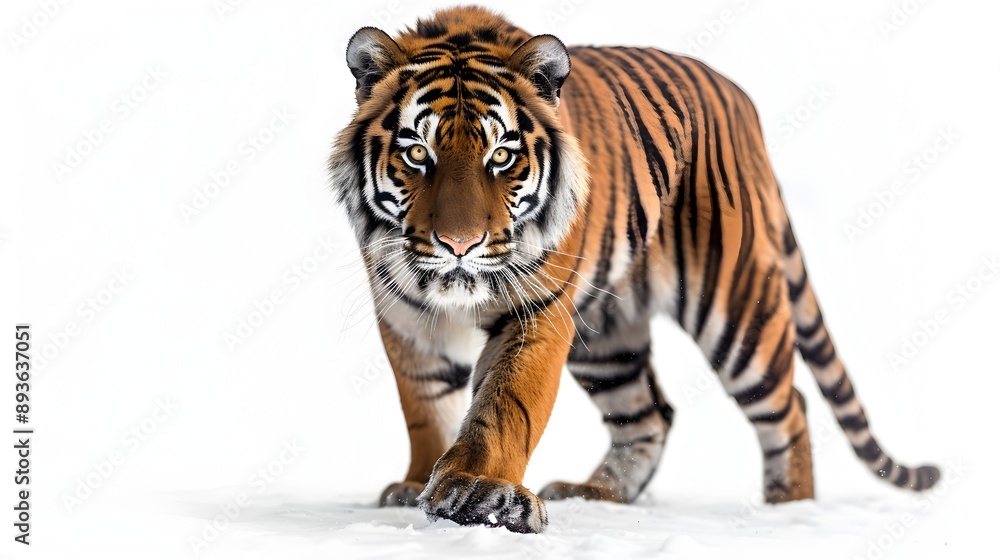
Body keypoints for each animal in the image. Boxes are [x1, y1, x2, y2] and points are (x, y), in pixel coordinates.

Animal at [328, 6, 939, 533]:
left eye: (500, 156)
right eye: (417, 154)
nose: (460, 244)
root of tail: (742, 101)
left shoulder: (538, 310)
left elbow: (507, 405)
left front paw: (478, 487)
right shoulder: (406, 320)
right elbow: (425, 410)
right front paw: (416, 484)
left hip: (738, 309)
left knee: (788, 407)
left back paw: (789, 509)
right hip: (608, 339)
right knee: (649, 415)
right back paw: (596, 493)